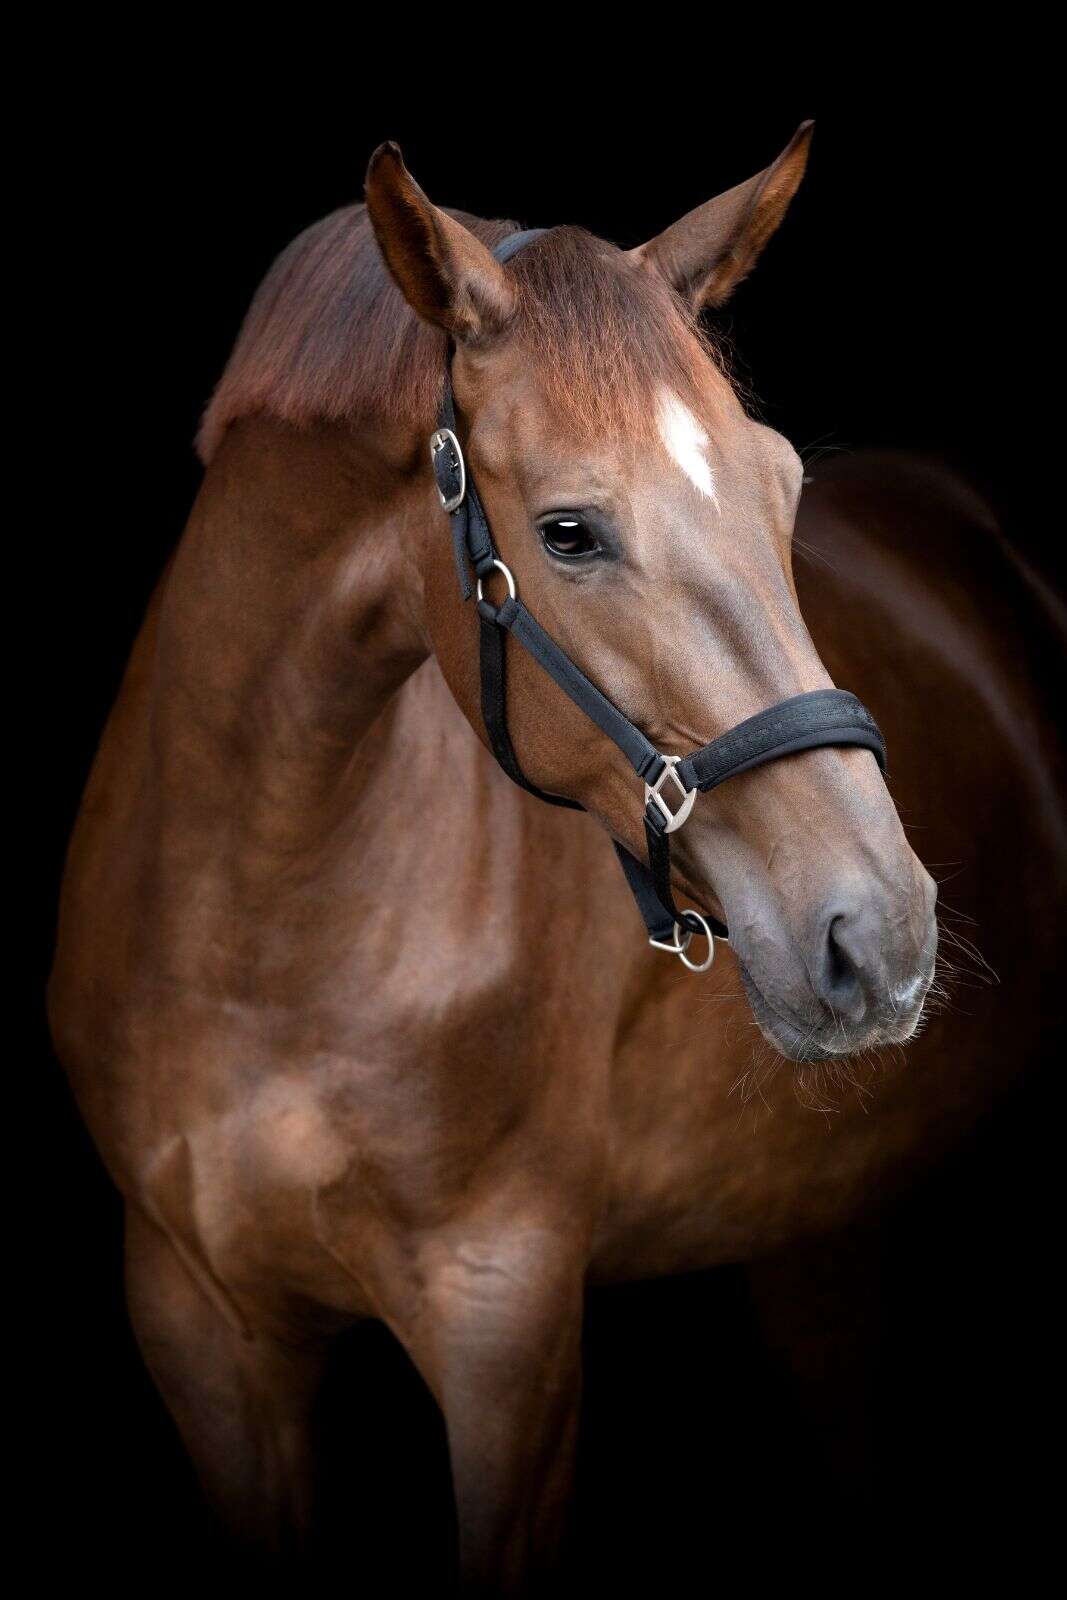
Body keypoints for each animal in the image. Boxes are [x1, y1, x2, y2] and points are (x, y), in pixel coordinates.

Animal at [48, 125, 1065, 1591]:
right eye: (569, 532)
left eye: (782, 488)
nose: (877, 935)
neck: (262, 928)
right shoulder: (202, 1329)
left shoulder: (506, 1335)